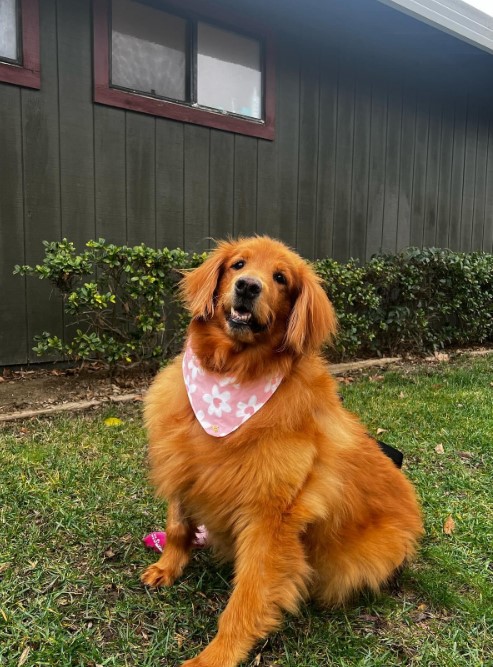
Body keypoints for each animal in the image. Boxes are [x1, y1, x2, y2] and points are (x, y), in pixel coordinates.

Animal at [142, 236, 422, 667]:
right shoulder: (184, 461)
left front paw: (217, 655)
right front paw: (167, 567)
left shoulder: (270, 518)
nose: (247, 287)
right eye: (238, 265)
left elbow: (248, 594)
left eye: (281, 278)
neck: (232, 377)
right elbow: (177, 526)